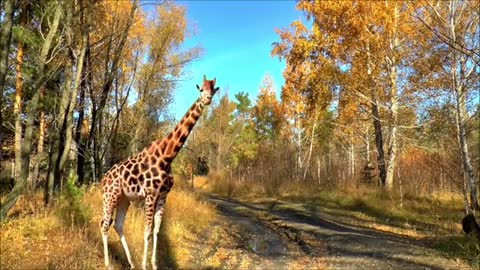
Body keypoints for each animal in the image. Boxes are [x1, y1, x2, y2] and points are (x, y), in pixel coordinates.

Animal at [101, 75, 221, 268]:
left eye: (213, 89)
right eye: (201, 90)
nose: (207, 99)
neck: (167, 156)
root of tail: (103, 179)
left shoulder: (163, 195)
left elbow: (156, 230)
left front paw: (154, 264)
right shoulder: (151, 194)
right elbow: (147, 231)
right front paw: (145, 265)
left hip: (124, 198)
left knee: (117, 224)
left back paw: (131, 263)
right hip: (110, 196)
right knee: (104, 224)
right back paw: (109, 264)